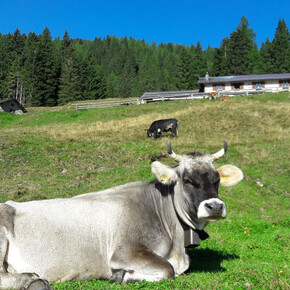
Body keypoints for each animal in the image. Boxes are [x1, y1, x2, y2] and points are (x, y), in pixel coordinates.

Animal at [0, 142, 244, 288]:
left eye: (217, 179)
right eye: (187, 180)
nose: (215, 206)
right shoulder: (125, 251)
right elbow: (168, 269)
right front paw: (123, 276)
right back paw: (32, 281)